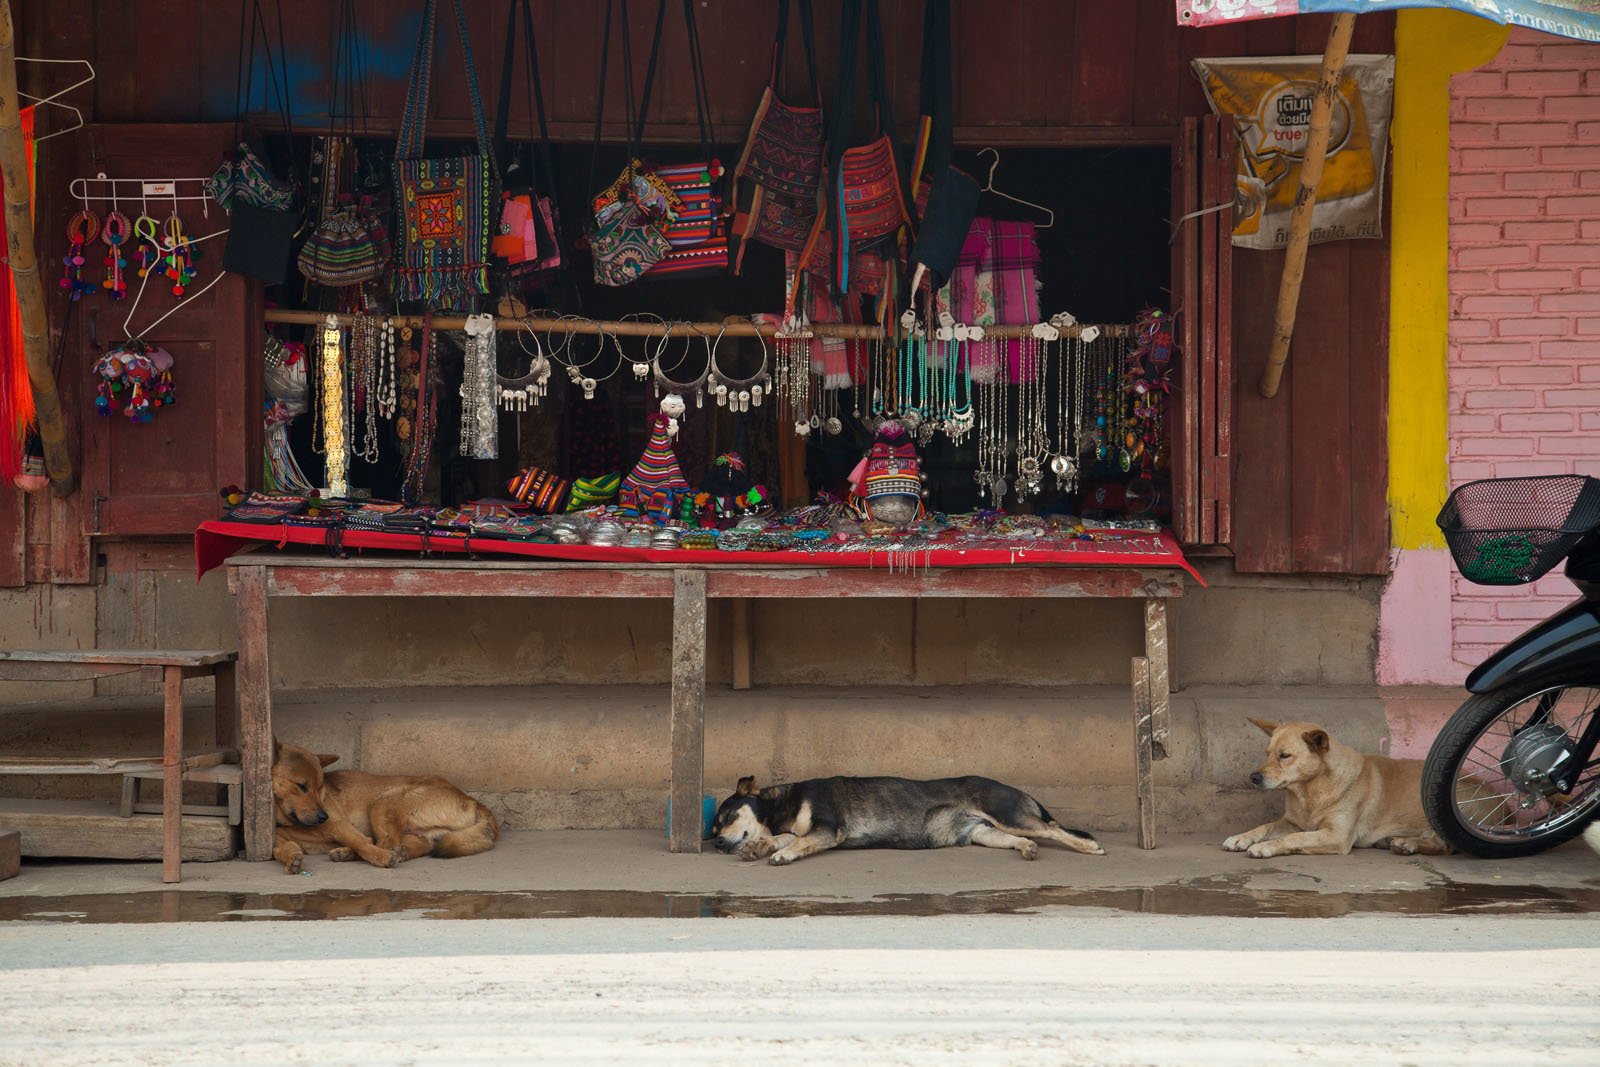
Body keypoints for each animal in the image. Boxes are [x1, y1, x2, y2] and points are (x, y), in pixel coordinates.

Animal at [270, 735, 499, 876]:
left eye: (319, 788)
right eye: (301, 786)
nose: (322, 817)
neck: (289, 822)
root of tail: (474, 801)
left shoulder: (340, 825)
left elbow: (362, 842)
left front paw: (380, 858)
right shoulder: (279, 841)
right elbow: (284, 850)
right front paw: (292, 861)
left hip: (381, 804)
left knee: (385, 843)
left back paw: (364, 854)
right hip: (417, 831)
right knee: (410, 846)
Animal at [1222, 716, 1452, 857]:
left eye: (1285, 756)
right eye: (1266, 753)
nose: (1253, 777)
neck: (1311, 792)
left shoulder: (1336, 835)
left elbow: (1295, 837)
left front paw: (1266, 846)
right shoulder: (1291, 822)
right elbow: (1266, 826)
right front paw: (1241, 838)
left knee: (1444, 846)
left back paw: (1406, 843)